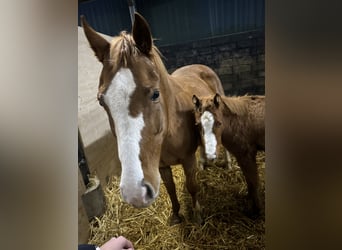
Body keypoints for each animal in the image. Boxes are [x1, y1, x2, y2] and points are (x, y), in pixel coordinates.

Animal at [81, 12, 226, 225]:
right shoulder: (161, 165)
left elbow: (192, 185)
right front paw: (176, 215)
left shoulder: (187, 159)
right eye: (101, 101)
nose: (135, 193)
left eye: (156, 94)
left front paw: (198, 215)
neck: (170, 129)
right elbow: (170, 188)